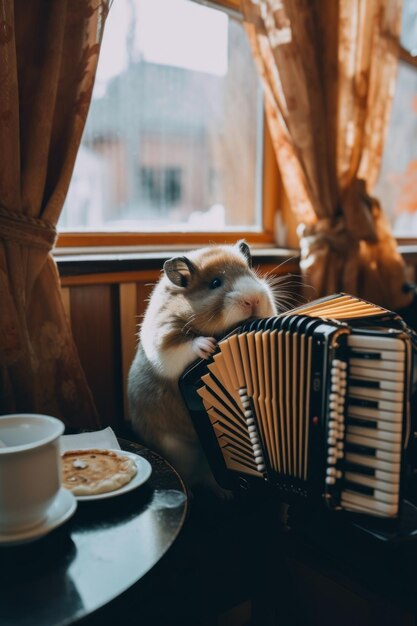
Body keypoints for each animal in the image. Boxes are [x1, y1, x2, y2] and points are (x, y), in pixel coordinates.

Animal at [127, 241, 276, 490]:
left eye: (250, 273)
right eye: (215, 283)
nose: (254, 300)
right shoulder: (164, 339)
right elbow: (185, 346)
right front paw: (208, 346)